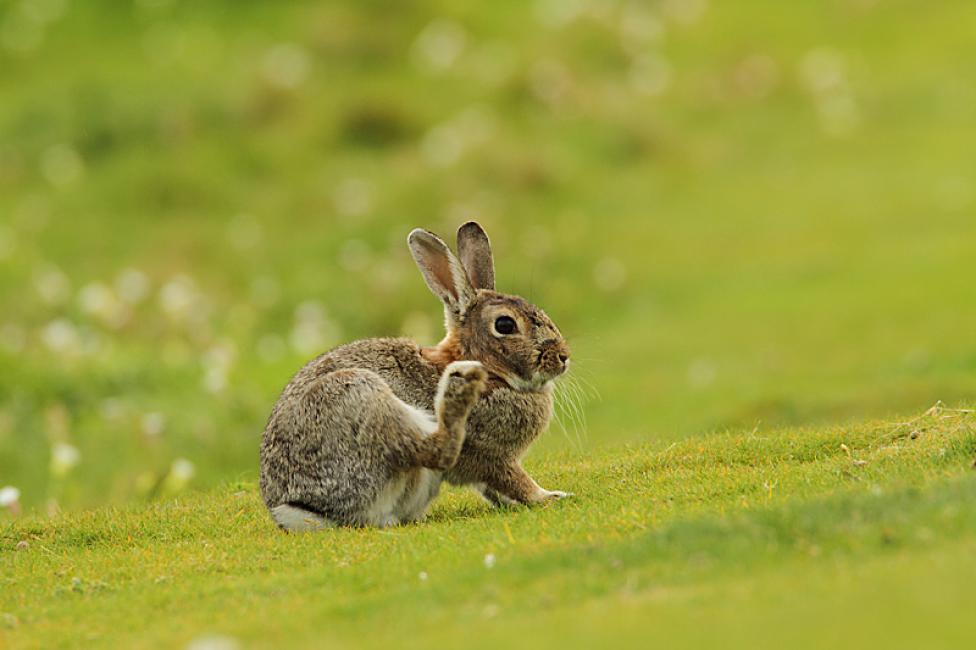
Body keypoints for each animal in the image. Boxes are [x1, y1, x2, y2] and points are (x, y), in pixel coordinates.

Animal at [260, 220, 572, 528]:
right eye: (505, 325)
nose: (563, 356)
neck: (493, 373)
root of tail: (304, 509)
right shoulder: (490, 455)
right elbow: (513, 480)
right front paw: (550, 496)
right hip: (357, 396)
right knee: (435, 450)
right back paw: (457, 391)